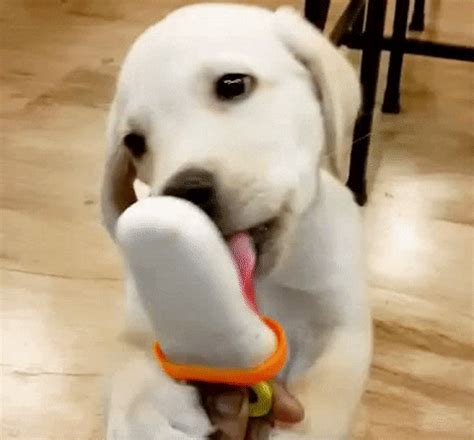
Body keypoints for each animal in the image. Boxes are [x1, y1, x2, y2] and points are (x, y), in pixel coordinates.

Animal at [102, 4, 372, 440]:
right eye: (134, 142)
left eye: (232, 84)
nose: (184, 190)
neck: (264, 284)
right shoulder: (139, 330)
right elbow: (131, 374)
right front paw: (149, 417)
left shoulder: (343, 329)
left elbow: (324, 392)